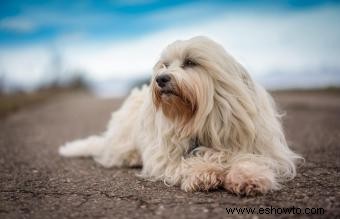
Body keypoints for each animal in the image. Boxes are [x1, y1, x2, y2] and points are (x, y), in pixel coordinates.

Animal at [59, 36, 302, 197]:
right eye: (165, 65)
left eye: (190, 62)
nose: (161, 78)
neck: (201, 119)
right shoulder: (164, 156)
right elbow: (185, 162)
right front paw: (203, 172)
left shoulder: (258, 145)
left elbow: (249, 158)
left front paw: (249, 176)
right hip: (123, 141)